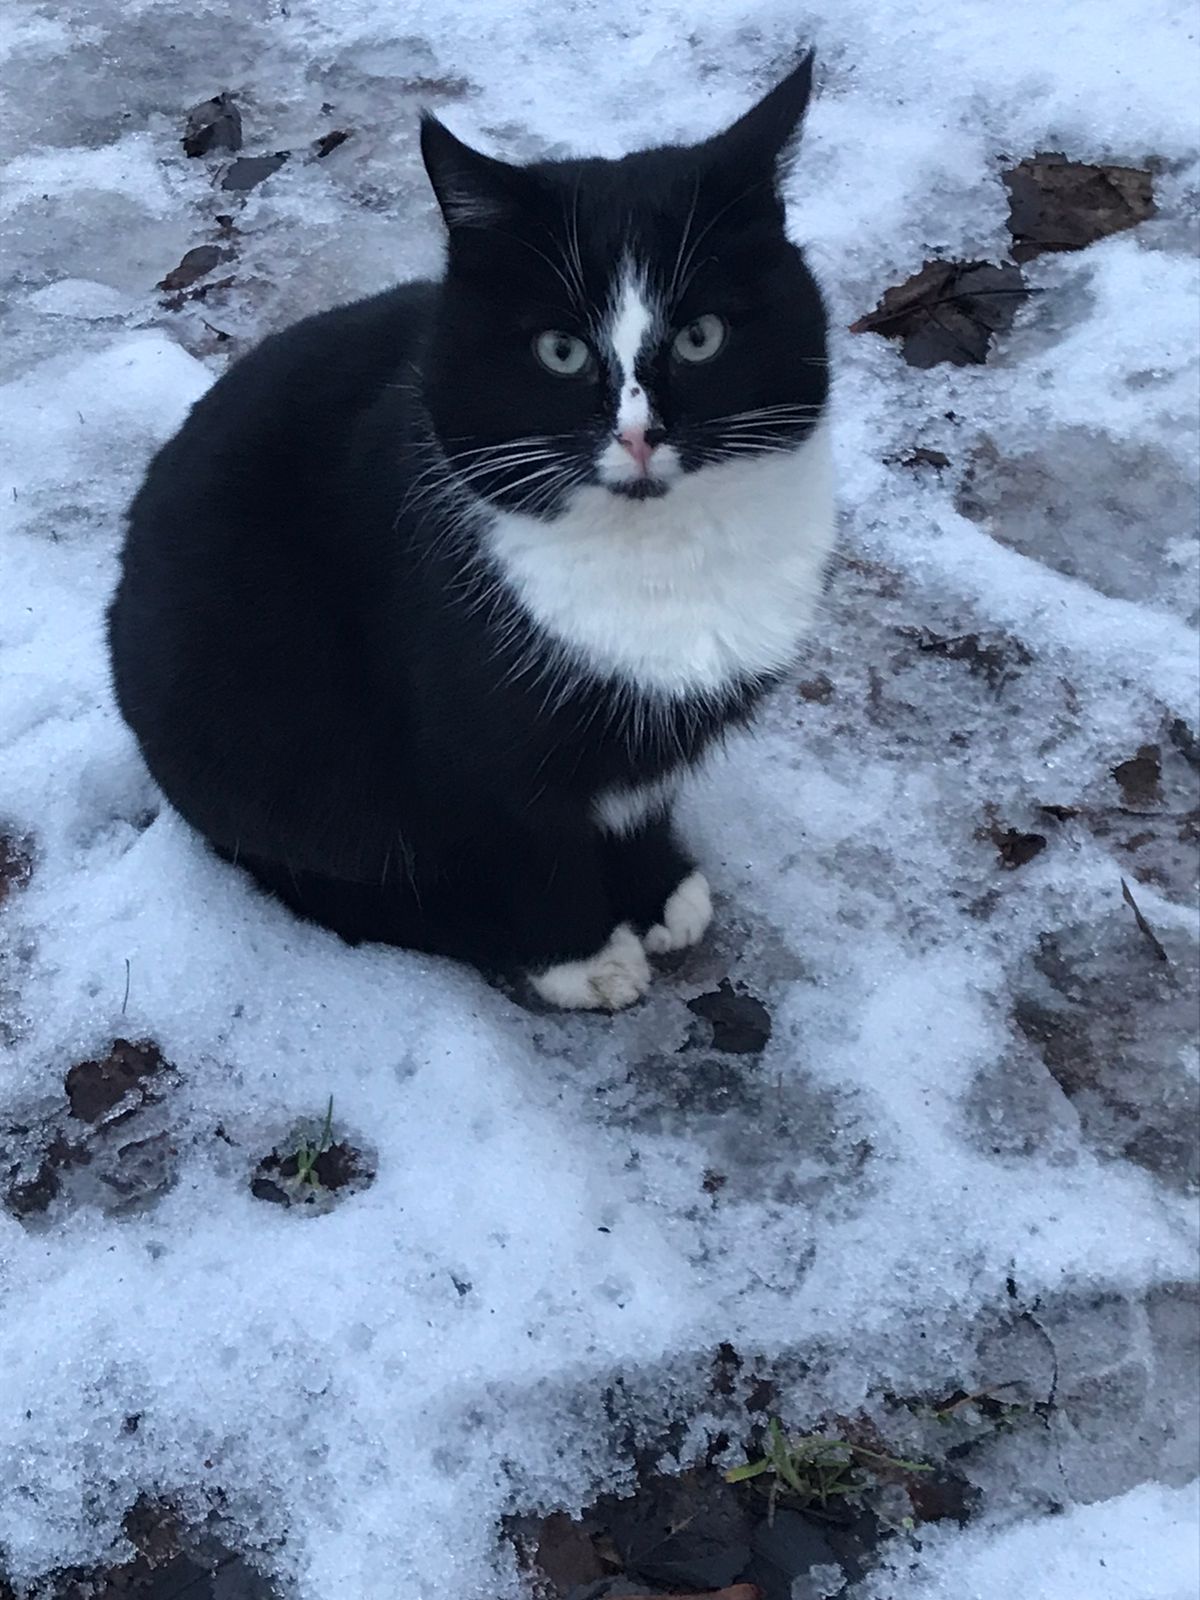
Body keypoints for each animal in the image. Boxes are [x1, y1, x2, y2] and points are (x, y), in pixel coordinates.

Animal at [105, 59, 838, 1011]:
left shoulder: (651, 739)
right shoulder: (461, 732)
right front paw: (582, 955)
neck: (658, 556)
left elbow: (638, 796)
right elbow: (523, 842)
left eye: (702, 336)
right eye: (560, 351)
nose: (640, 435)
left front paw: (657, 889)